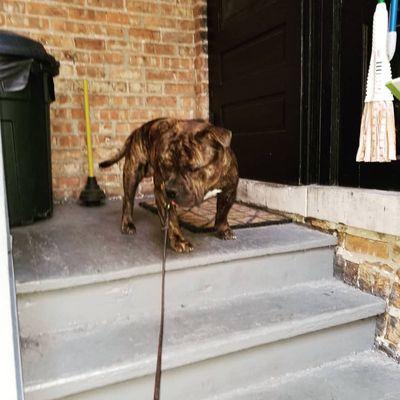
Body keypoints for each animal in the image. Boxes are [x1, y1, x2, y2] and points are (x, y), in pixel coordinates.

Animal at [99, 117, 239, 253]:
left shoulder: (230, 190)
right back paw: (128, 223)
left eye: (192, 168)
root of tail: (138, 129)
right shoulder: (162, 192)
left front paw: (223, 229)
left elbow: (223, 212)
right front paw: (179, 240)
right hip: (132, 173)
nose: (171, 191)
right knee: (128, 200)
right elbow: (172, 220)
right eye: (165, 166)